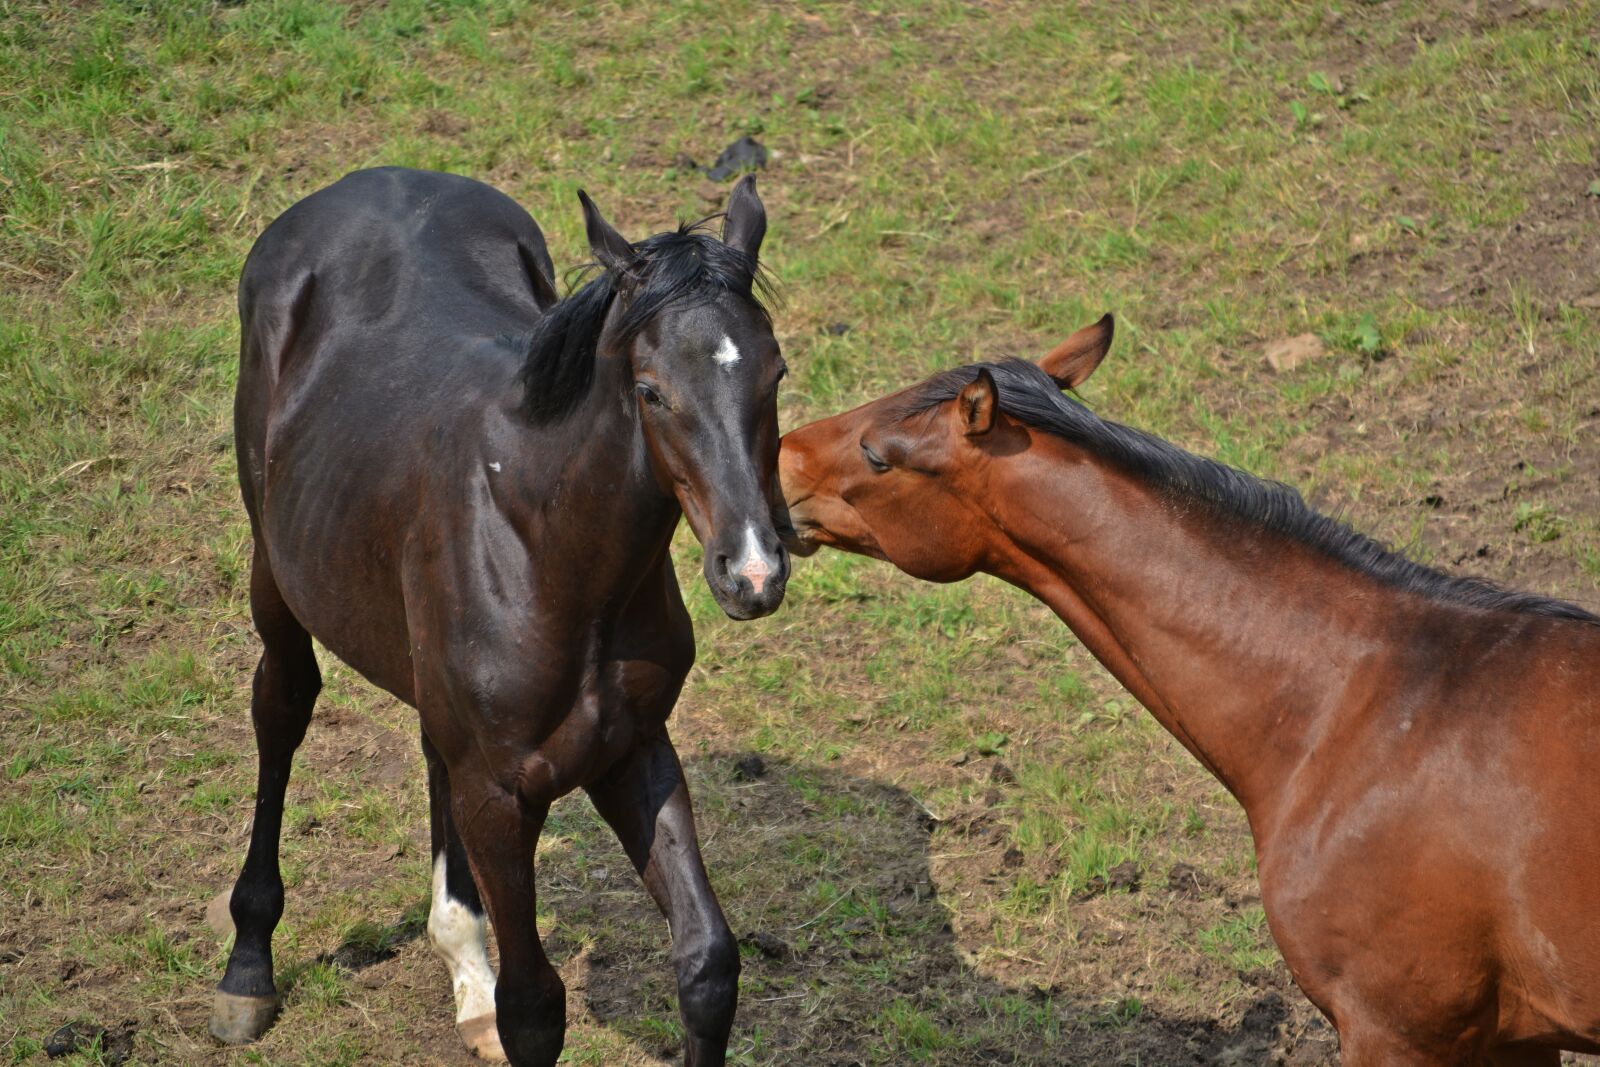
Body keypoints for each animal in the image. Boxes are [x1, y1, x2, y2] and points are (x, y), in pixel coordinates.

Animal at [214, 167, 791, 1067]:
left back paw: (463, 969)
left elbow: (707, 961)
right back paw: (248, 970)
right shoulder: (497, 793)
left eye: (775, 376)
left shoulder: (633, 749)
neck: (548, 548)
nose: (753, 572)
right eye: (651, 390)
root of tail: (374, 177)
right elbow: (534, 1008)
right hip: (274, 572)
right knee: (281, 705)